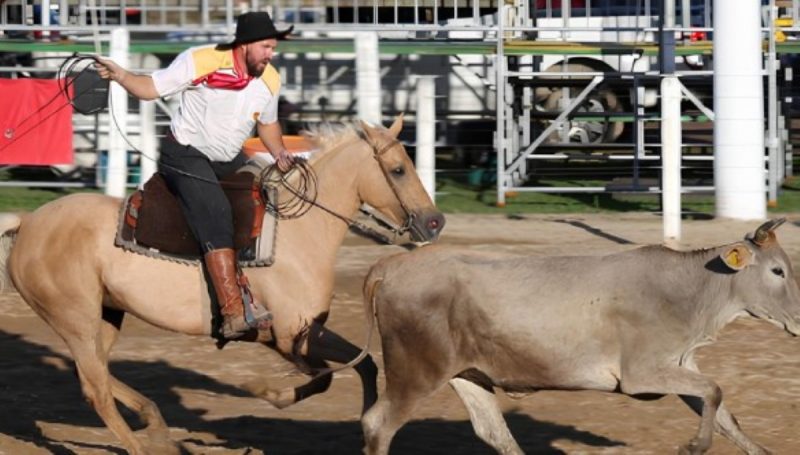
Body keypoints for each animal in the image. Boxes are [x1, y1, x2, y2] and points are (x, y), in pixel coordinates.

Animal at [0, 116, 444, 454]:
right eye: (399, 169)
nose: (435, 221)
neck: (298, 230)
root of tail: (27, 223)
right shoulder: (288, 336)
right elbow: (326, 376)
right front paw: (267, 393)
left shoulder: (306, 330)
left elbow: (363, 365)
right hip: (76, 320)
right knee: (96, 388)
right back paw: (143, 443)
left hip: (105, 316)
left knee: (98, 375)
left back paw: (153, 419)